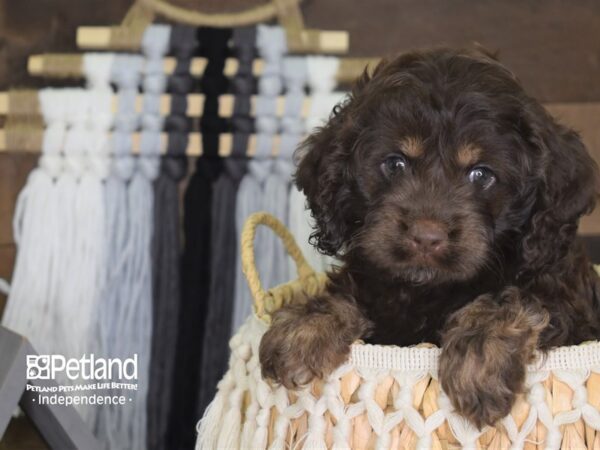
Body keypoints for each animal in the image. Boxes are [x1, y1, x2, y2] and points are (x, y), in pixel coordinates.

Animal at [258, 49, 600, 428]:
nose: (426, 237)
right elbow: (346, 293)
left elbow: (513, 298)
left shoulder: (566, 302)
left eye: (481, 174)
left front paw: (478, 359)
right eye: (395, 164)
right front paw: (304, 326)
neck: (428, 290)